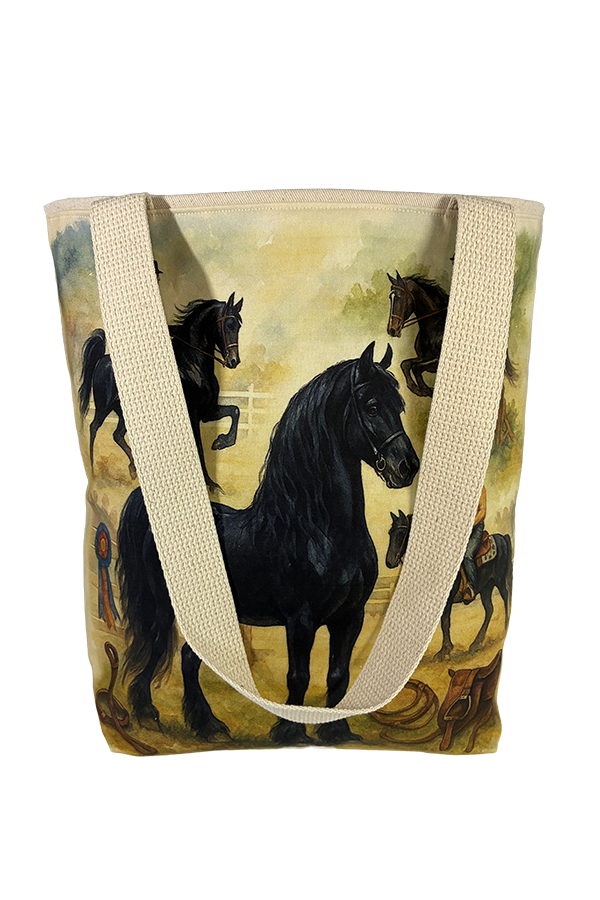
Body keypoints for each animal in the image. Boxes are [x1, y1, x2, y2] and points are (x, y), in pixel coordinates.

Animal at [79, 292, 244, 491]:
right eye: (228, 324)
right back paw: (95, 470)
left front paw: (221, 442)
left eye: (238, 326)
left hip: (125, 416)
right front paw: (210, 483)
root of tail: (102, 360)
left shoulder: (208, 411)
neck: (193, 366)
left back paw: (133, 469)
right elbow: (199, 447)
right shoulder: (193, 414)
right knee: (93, 428)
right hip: (103, 408)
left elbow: (235, 411)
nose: (234, 361)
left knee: (117, 435)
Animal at [117, 342, 420, 747]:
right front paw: (289, 732)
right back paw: (148, 715)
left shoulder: (350, 617)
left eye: (399, 406)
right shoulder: (300, 620)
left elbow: (338, 676)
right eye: (371, 407)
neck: (321, 532)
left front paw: (336, 731)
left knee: (188, 658)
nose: (407, 467)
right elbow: (299, 677)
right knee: (157, 645)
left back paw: (206, 725)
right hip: (165, 606)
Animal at [386, 272, 518, 400]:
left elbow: (416, 367)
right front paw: (418, 389)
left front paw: (425, 390)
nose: (392, 330)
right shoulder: (423, 357)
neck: (434, 324)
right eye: (390, 297)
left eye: (399, 297)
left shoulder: (435, 361)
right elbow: (406, 364)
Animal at [386, 509, 512, 660]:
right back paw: (475, 644)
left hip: (499, 580)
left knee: (505, 597)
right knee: (489, 609)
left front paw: (444, 651)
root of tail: (502, 537)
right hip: (486, 587)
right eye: (390, 533)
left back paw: (503, 625)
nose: (389, 562)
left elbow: (445, 622)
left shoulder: (448, 599)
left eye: (401, 534)